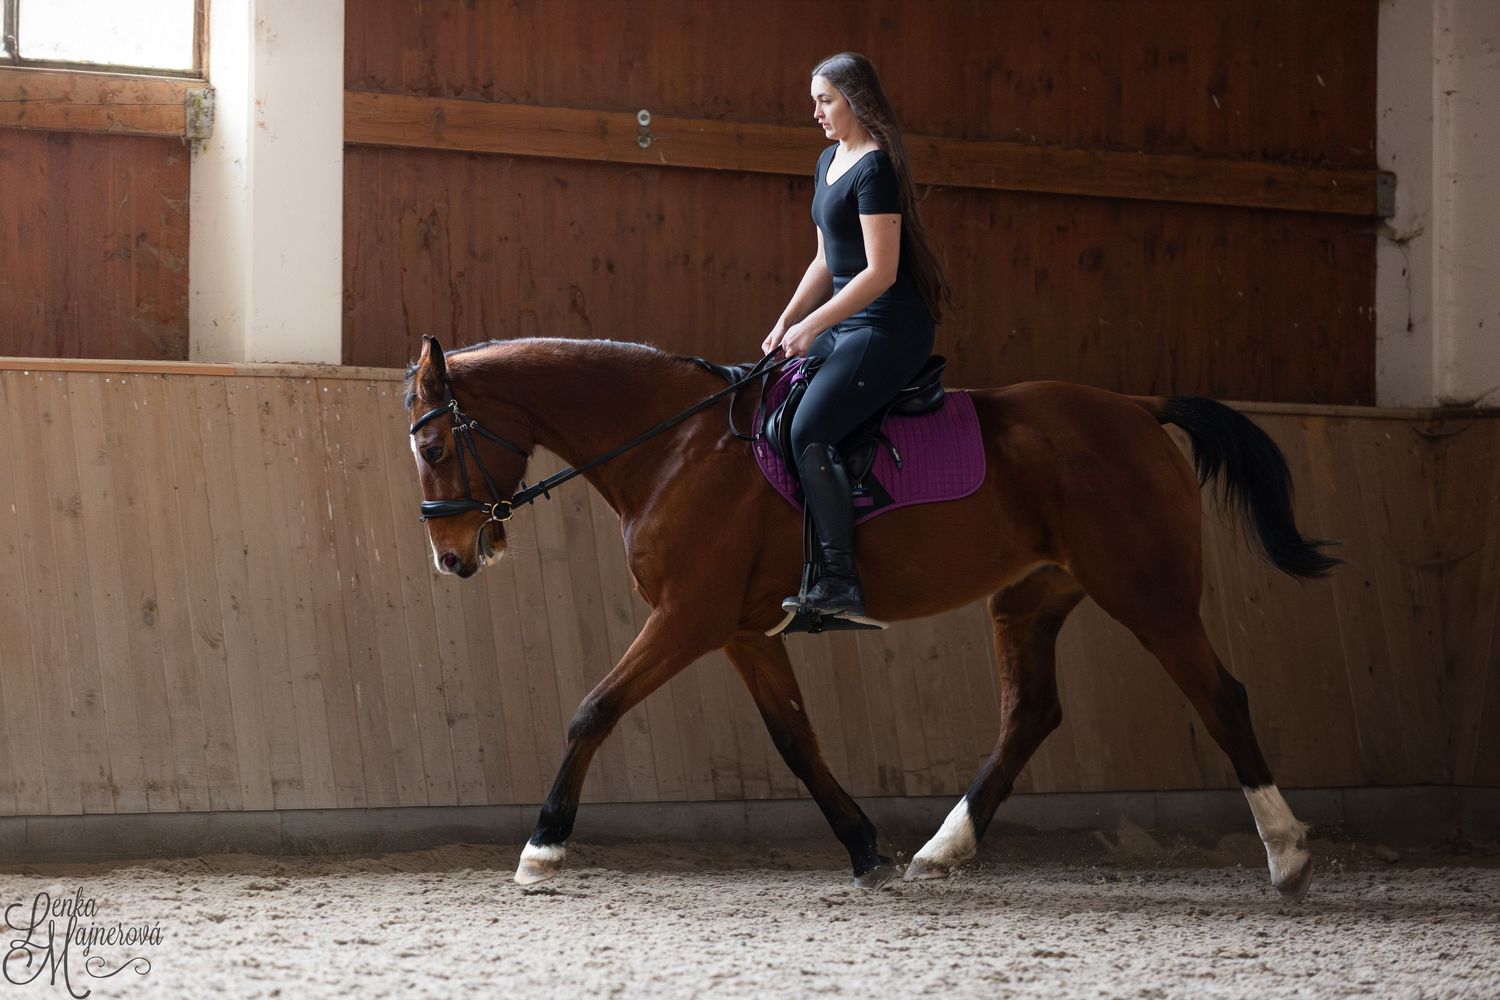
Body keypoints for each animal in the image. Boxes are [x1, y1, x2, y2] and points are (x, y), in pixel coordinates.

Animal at [404, 334, 1335, 897]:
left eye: (436, 445)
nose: (450, 558)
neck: (672, 447)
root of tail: (1138, 410)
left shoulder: (688, 617)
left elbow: (592, 710)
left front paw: (542, 847)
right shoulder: (739, 630)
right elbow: (794, 738)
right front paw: (862, 845)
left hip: (1146, 592)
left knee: (1220, 697)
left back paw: (1287, 852)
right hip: (1031, 598)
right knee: (1031, 713)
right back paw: (943, 849)